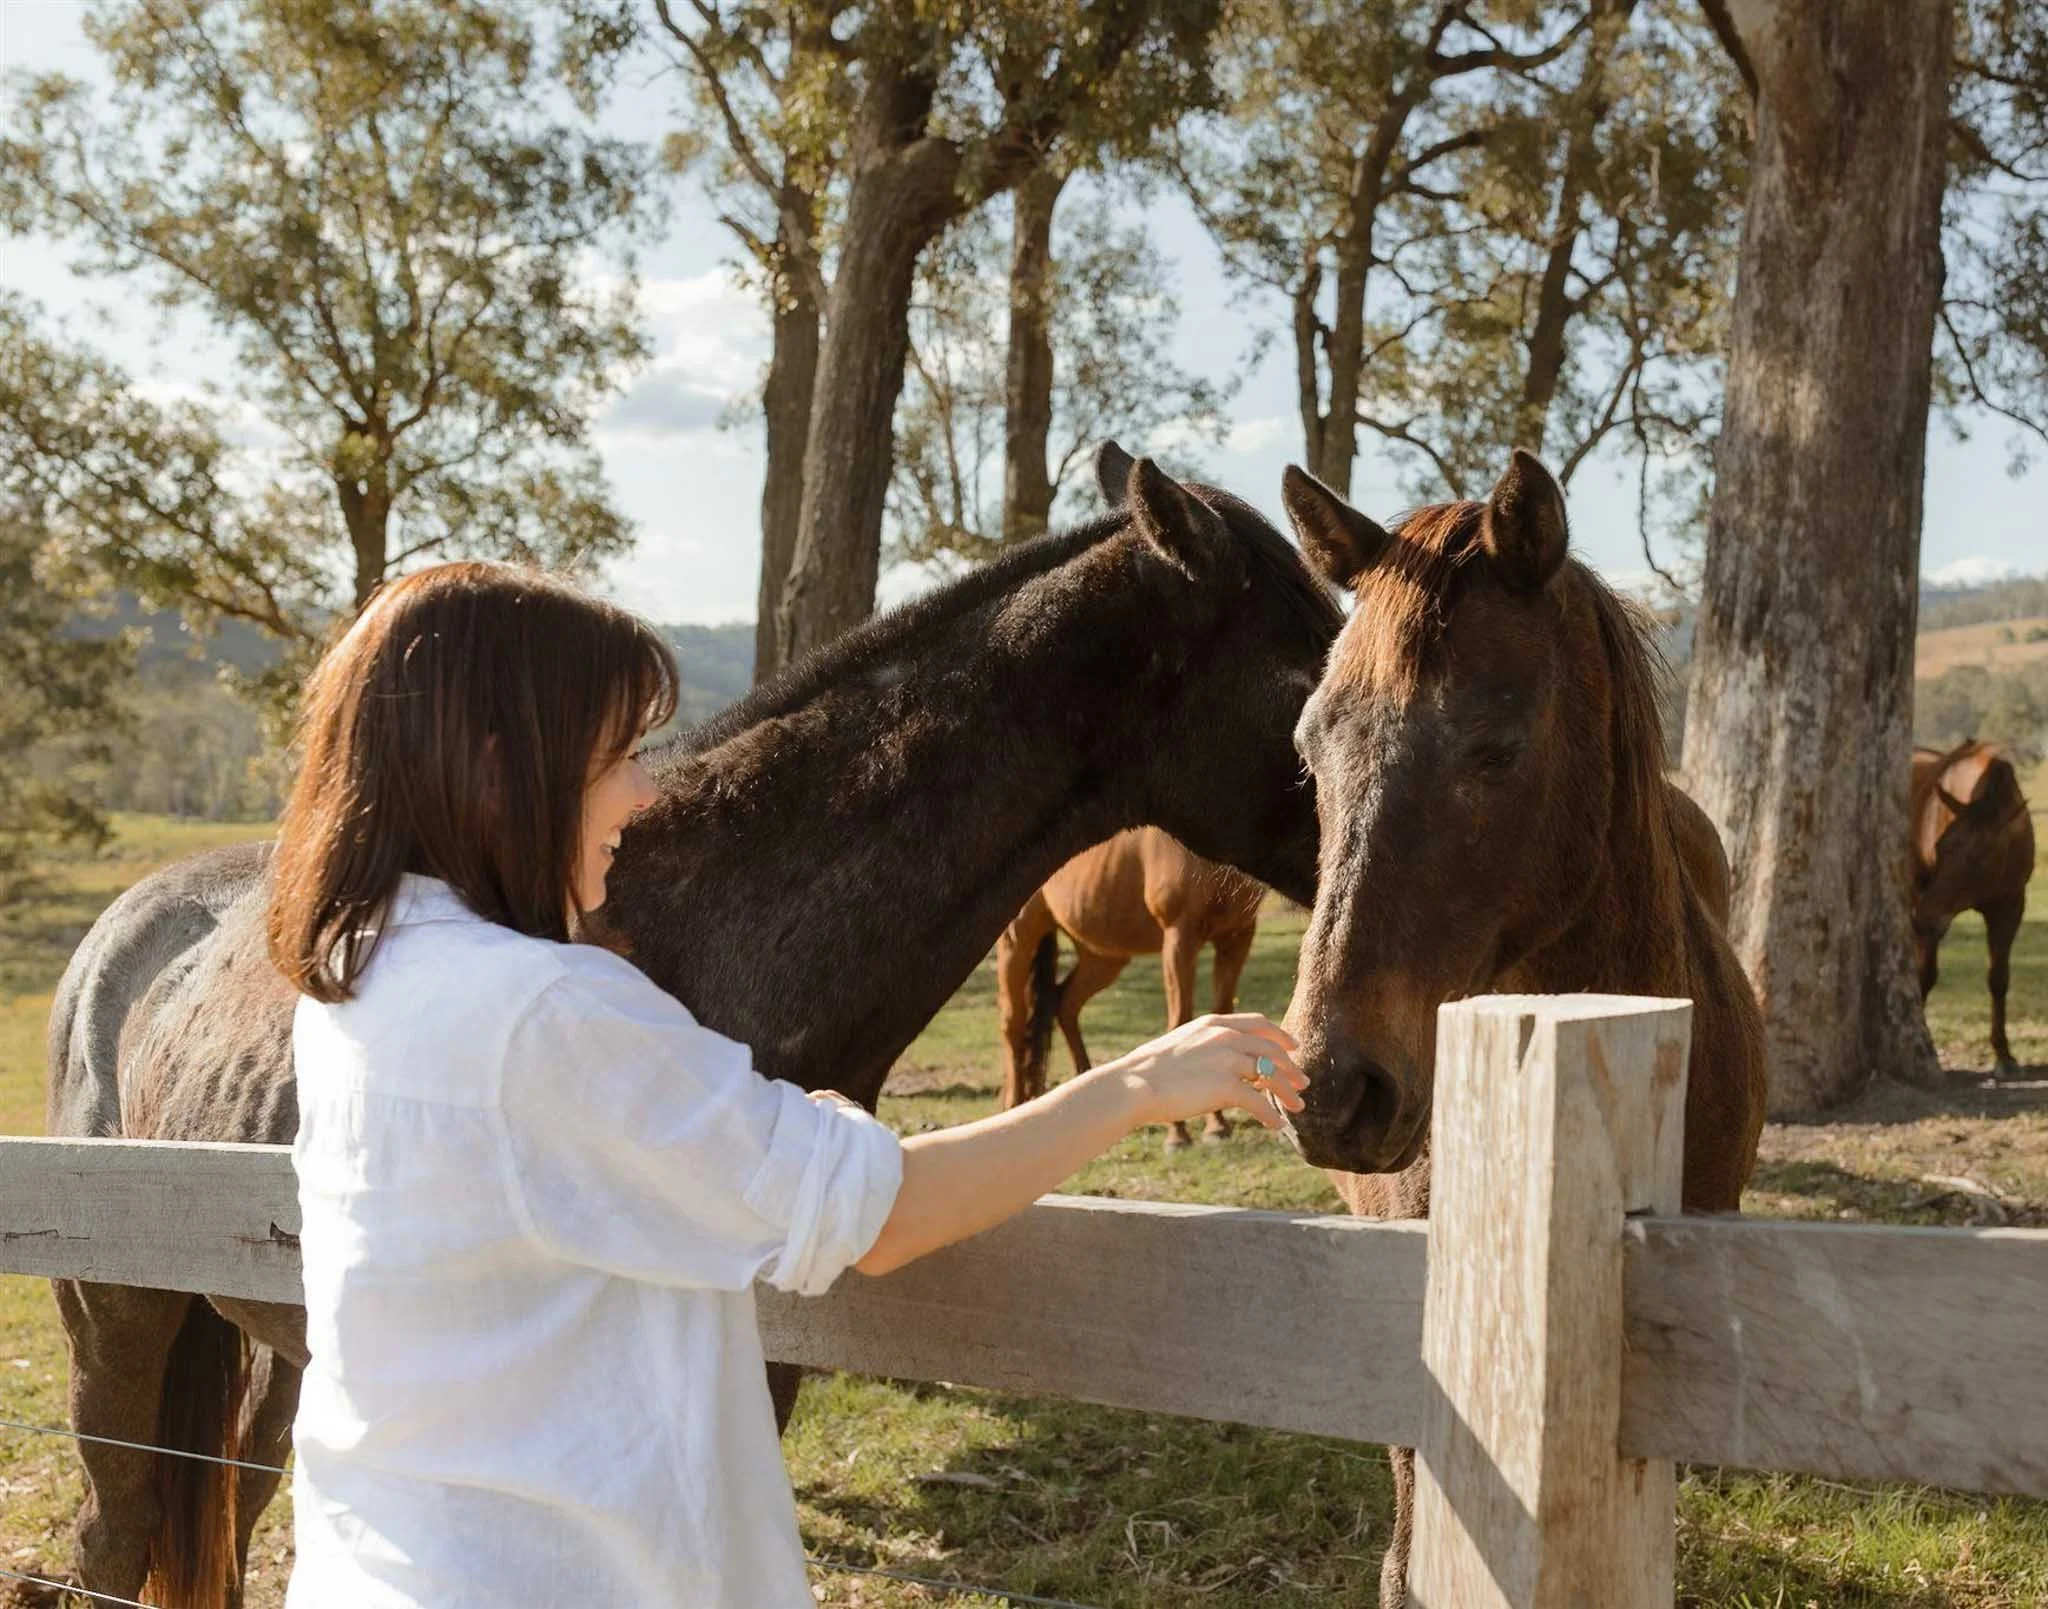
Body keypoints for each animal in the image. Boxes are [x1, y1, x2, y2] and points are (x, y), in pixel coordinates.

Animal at [995, 826, 1266, 1149]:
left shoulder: (1237, 936)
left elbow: (1223, 1014)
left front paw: (1216, 1125)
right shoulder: (1179, 936)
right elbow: (1180, 1021)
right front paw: (1178, 1133)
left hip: (1103, 956)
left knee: (1066, 1003)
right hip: (1018, 940)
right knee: (1013, 1023)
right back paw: (1013, 1106)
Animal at [1910, 738, 2035, 1075]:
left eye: (1978, 859)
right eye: (1939, 847)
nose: (1922, 919)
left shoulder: (2009, 907)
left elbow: (1999, 979)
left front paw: (2003, 1054)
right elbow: (1926, 974)